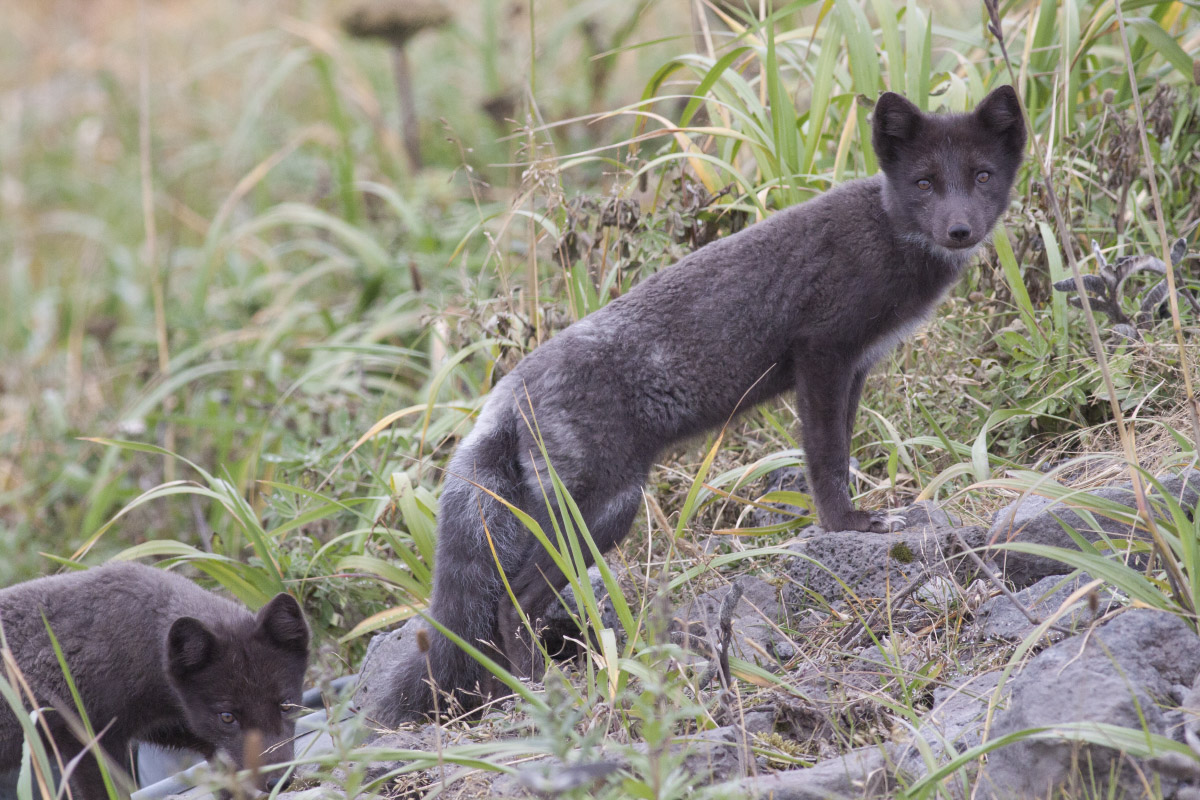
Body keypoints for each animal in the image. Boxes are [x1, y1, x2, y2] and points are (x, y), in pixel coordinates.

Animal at [369, 86, 1027, 724]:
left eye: (983, 175)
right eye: (924, 183)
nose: (960, 230)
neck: (887, 233)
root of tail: (509, 392)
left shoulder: (857, 368)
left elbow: (840, 449)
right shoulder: (822, 354)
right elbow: (826, 458)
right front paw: (848, 524)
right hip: (602, 510)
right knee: (512, 604)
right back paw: (543, 687)